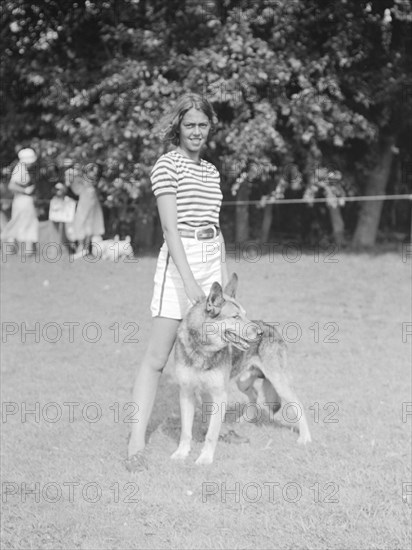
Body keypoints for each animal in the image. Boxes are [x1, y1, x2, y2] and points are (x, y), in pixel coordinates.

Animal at [171, 274, 312, 466]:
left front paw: (205, 458)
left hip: (278, 383)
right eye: (236, 316)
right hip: (242, 382)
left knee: (298, 404)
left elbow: (211, 434)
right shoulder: (186, 393)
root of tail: (271, 327)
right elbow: (186, 432)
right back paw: (245, 420)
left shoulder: (219, 395)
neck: (202, 350)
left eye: (245, 315)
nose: (259, 334)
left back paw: (305, 437)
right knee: (255, 394)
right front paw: (181, 453)